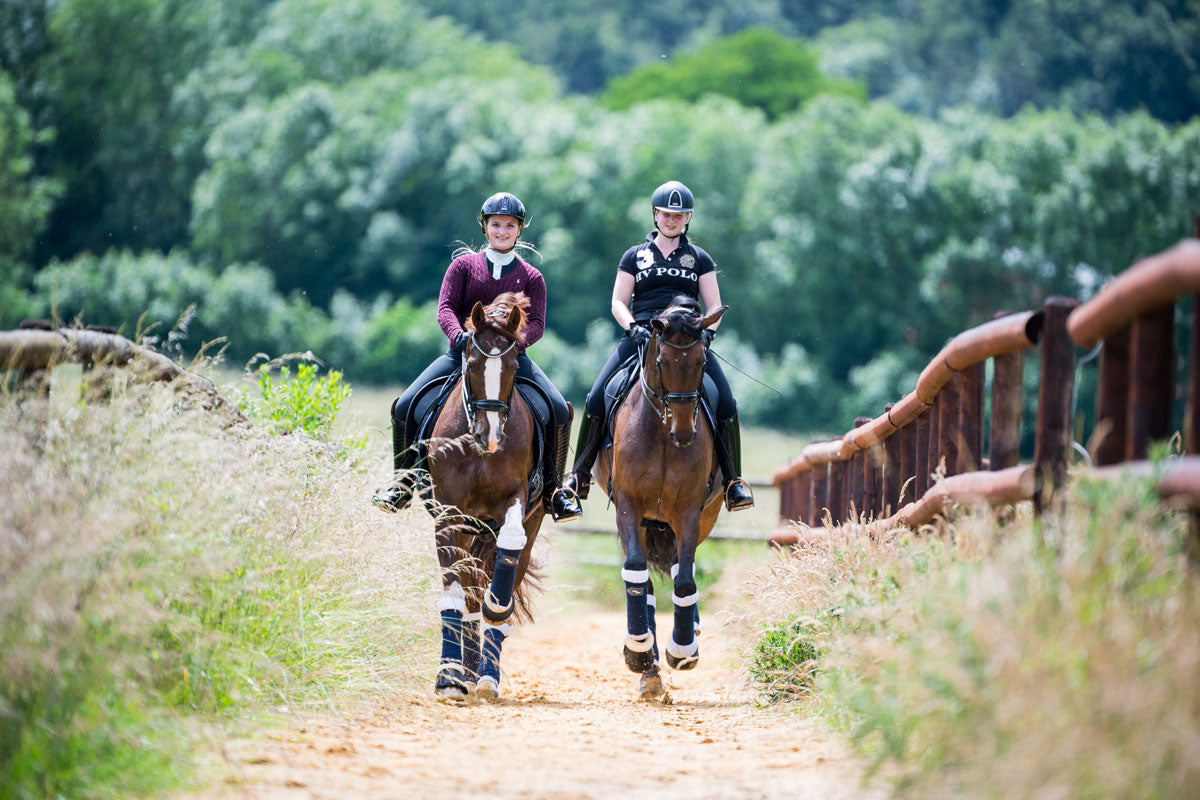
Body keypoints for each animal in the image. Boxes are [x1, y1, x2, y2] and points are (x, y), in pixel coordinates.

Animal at [424, 292, 542, 700]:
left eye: (512, 365)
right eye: (472, 363)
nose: (489, 437)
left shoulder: (515, 500)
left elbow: (508, 551)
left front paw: (498, 606)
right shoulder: (448, 512)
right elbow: (453, 595)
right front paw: (448, 676)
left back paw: (486, 674)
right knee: (471, 592)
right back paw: (469, 672)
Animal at [592, 296, 724, 700]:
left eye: (701, 362)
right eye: (662, 361)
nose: (684, 433)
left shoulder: (689, 513)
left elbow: (685, 581)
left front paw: (681, 650)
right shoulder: (628, 506)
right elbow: (636, 572)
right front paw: (638, 653)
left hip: (701, 518)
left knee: (684, 569)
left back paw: (688, 635)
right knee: (643, 577)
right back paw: (647, 664)